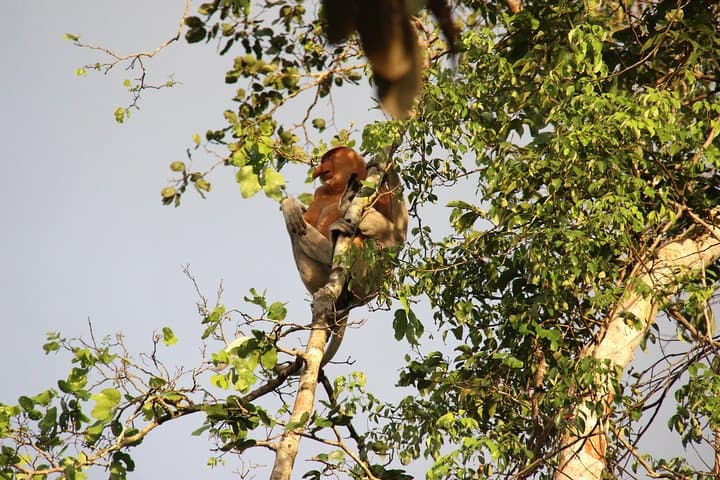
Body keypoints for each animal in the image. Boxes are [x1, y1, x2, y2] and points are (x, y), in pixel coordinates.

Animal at [281, 146, 408, 366]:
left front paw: (386, 166)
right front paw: (290, 205)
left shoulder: (376, 189)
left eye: (329, 159)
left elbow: (401, 231)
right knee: (297, 231)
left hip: (369, 275)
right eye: (323, 160)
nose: (319, 168)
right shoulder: (321, 192)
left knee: (384, 236)